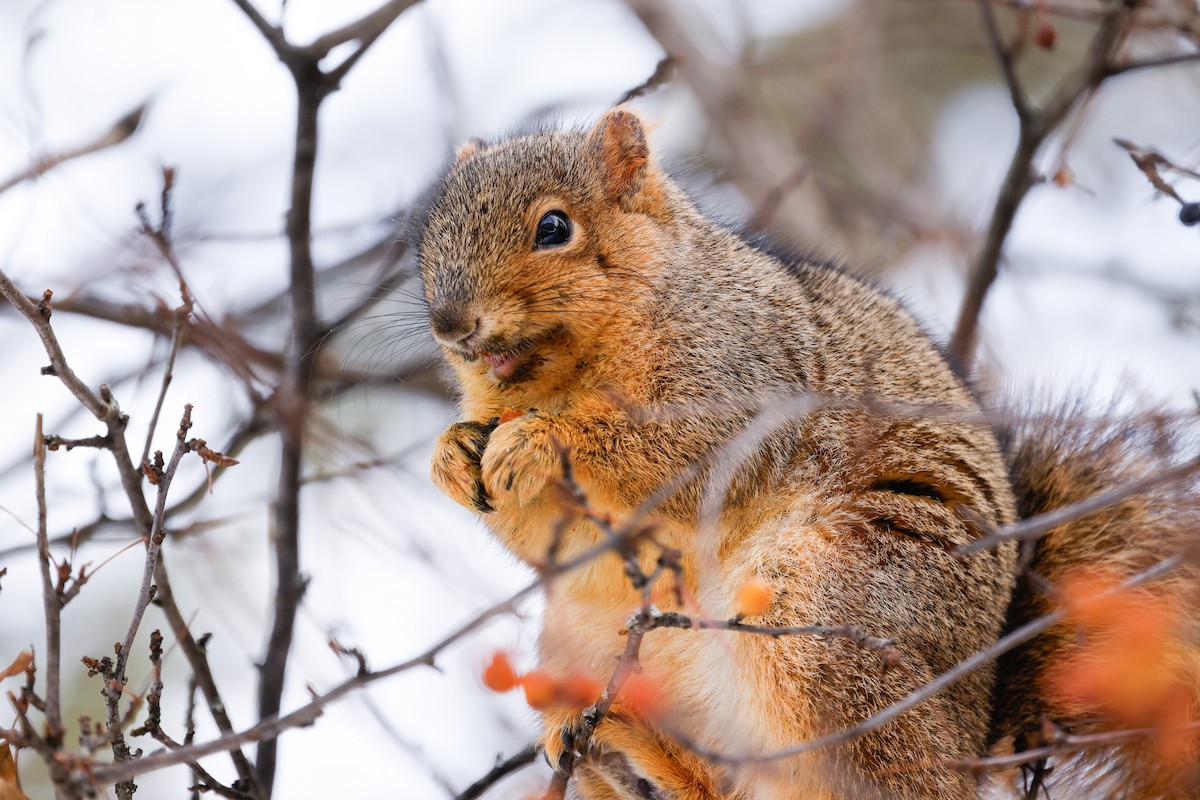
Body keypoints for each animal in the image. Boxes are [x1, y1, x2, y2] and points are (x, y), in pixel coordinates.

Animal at [417, 107, 1200, 799]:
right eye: (431, 237)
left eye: (554, 228)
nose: (451, 326)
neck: (568, 376)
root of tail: (973, 738)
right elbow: (550, 541)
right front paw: (451, 456)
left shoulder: (746, 378)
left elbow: (677, 454)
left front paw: (543, 439)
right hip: (583, 640)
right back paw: (629, 756)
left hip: (829, 605)